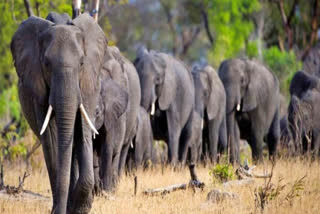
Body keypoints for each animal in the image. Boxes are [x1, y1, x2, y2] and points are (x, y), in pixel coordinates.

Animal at [11, 13, 107, 214]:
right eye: (46, 64)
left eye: (81, 63)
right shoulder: (37, 86)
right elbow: (51, 137)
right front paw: (65, 208)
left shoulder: (88, 84)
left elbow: (82, 131)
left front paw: (79, 207)